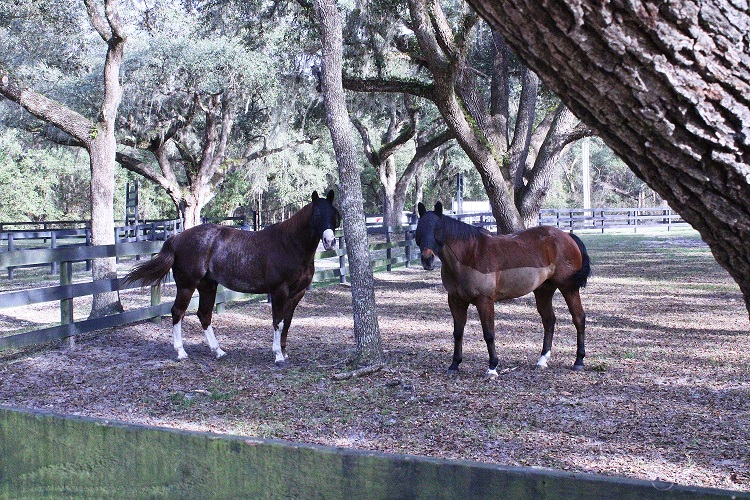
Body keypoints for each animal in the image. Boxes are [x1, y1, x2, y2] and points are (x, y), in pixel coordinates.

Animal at [125, 189, 342, 366]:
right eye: (317, 214)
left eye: (334, 213)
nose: (330, 241)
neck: (289, 245)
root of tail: (177, 238)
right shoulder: (279, 291)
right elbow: (277, 321)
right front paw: (278, 355)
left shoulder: (297, 293)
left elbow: (287, 322)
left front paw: (284, 352)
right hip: (187, 285)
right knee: (178, 312)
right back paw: (181, 352)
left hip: (207, 286)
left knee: (204, 314)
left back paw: (218, 351)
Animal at [414, 201, 592, 376]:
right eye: (419, 230)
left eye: (437, 228)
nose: (427, 259)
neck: (470, 254)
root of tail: (567, 236)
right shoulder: (455, 300)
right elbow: (458, 332)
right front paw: (454, 364)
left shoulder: (484, 301)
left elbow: (489, 334)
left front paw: (492, 367)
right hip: (543, 290)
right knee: (549, 320)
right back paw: (542, 360)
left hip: (568, 288)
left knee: (578, 318)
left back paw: (579, 361)